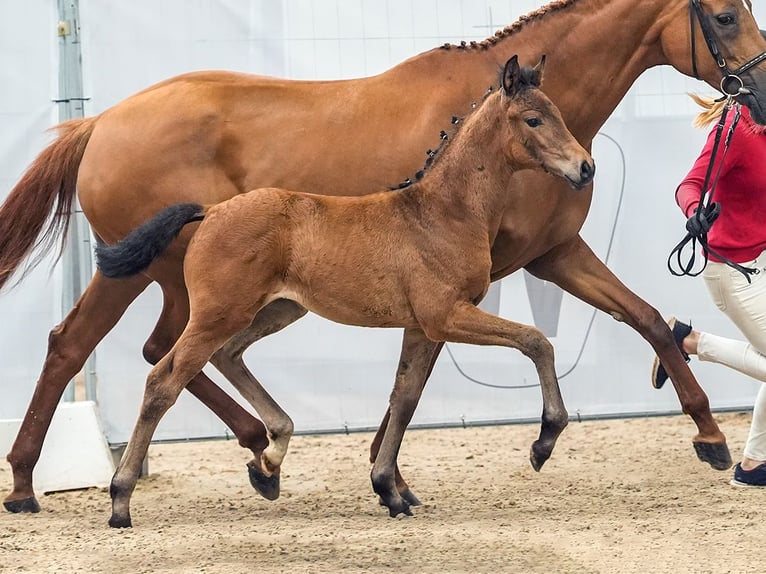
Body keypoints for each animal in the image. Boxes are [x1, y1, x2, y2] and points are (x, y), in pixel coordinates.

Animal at [96, 56, 596, 528]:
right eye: (534, 119)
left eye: (556, 113)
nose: (585, 167)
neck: (443, 213)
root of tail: (213, 210)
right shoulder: (445, 316)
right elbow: (535, 341)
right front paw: (543, 442)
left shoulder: (420, 327)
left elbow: (404, 396)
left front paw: (389, 490)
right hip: (219, 313)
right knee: (164, 381)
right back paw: (121, 500)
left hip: (277, 310)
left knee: (228, 355)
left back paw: (269, 462)